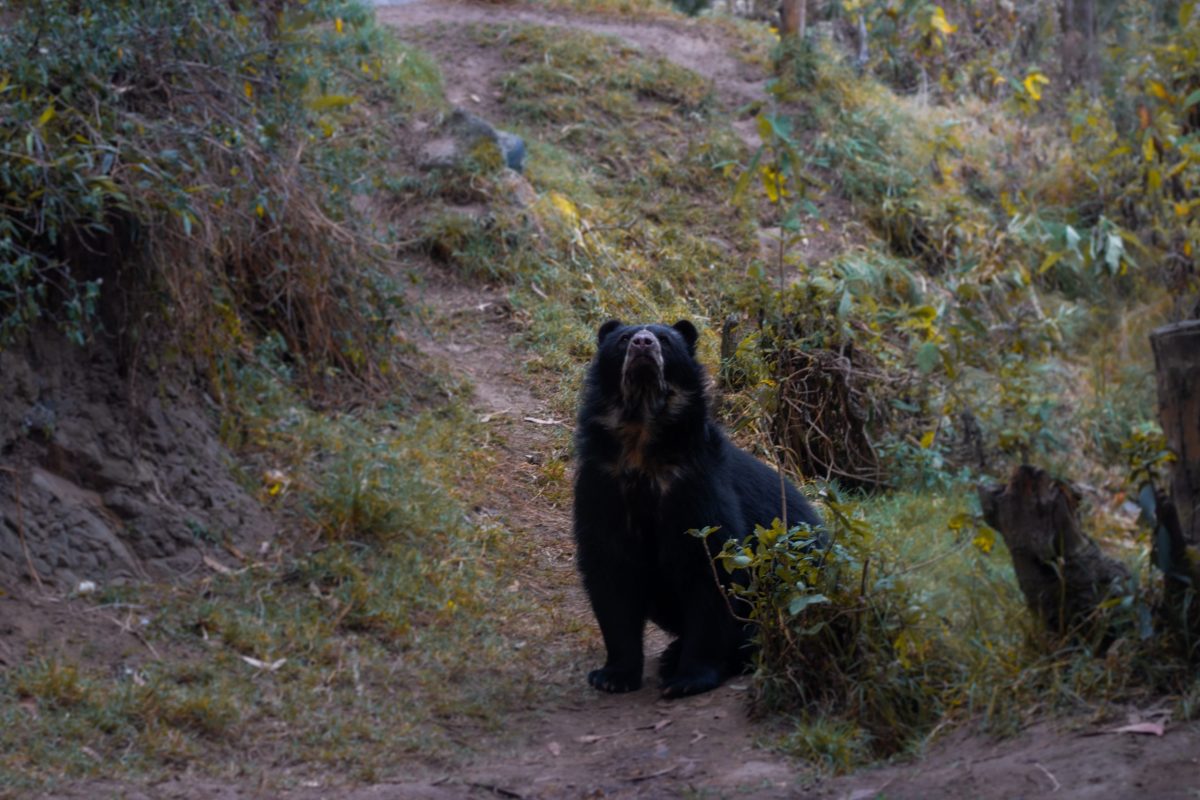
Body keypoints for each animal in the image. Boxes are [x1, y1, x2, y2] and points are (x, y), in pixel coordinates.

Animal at [573, 319, 823, 698]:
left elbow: (712, 567)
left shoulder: (698, 484)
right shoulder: (602, 483)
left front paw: (687, 679)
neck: (641, 438)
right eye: (623, 340)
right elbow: (610, 570)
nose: (643, 344)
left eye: (664, 340)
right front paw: (612, 675)